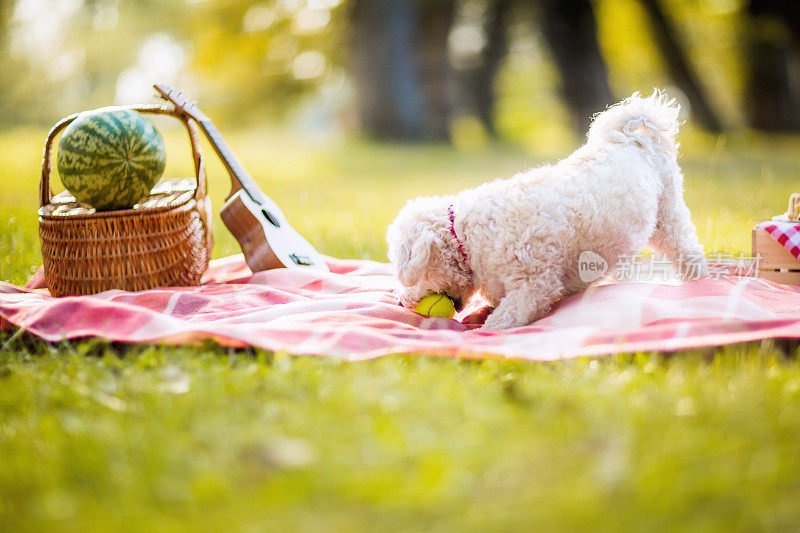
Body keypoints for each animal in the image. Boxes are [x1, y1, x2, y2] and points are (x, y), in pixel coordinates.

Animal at [386, 91, 708, 328]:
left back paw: (698, 283)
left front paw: (484, 331)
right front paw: (479, 314)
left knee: (685, 248)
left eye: (409, 272)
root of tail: (634, 139)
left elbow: (506, 318)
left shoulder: (534, 285)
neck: (467, 236)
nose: (400, 302)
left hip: (668, 213)